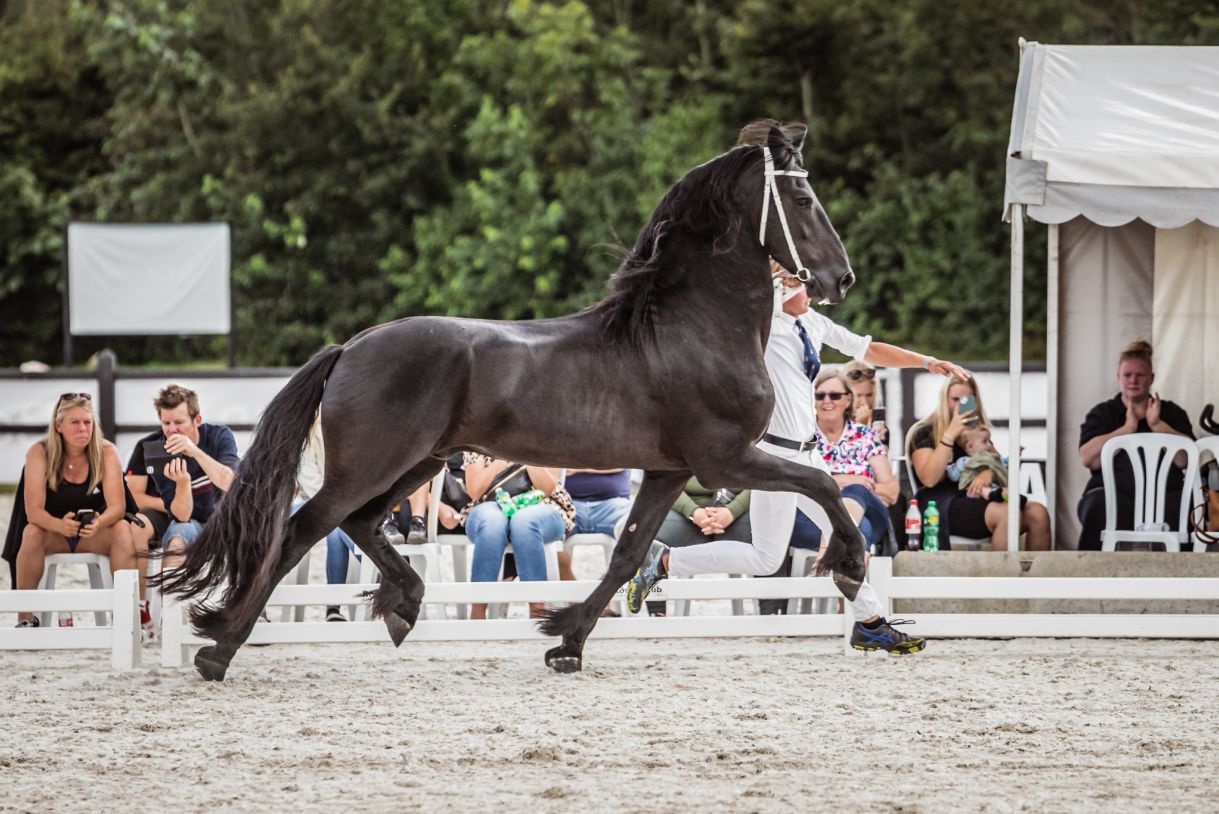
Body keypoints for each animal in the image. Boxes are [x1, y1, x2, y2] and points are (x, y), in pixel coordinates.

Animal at [162, 119, 867, 682]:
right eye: (802, 198)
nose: (842, 279)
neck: (690, 328)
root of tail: (352, 346)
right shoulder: (725, 458)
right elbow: (822, 485)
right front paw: (850, 565)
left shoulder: (670, 470)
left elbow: (627, 553)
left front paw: (566, 643)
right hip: (371, 466)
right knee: (303, 531)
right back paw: (219, 650)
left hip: (417, 463)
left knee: (361, 525)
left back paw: (403, 607)